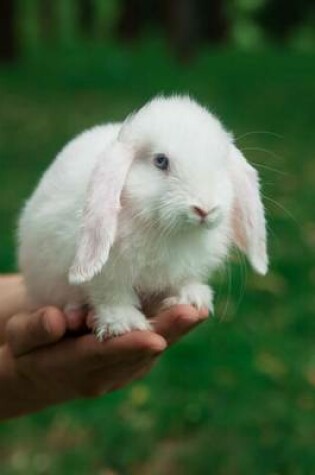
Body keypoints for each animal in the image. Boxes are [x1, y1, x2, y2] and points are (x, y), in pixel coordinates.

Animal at [17, 95, 270, 340]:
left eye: (220, 165)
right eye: (160, 161)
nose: (205, 209)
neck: (166, 229)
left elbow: (183, 280)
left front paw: (192, 298)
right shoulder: (107, 276)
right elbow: (112, 296)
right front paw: (123, 325)